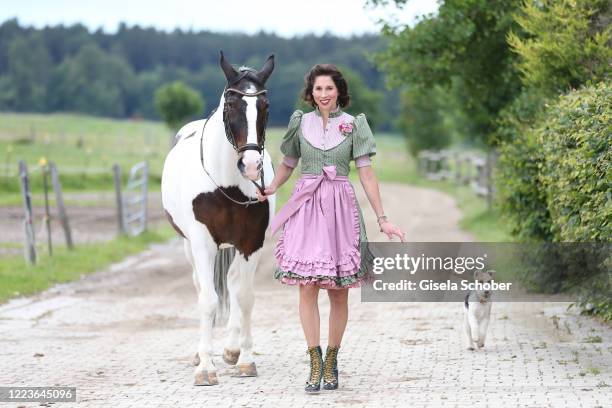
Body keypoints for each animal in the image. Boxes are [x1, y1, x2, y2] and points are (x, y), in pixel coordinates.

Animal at [163, 51, 278, 386]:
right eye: (230, 105)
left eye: (265, 106)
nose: (251, 165)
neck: (227, 185)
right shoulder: (203, 243)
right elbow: (209, 299)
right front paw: (205, 367)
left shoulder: (251, 243)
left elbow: (245, 297)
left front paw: (246, 360)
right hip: (191, 246)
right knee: (202, 287)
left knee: (234, 284)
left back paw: (231, 349)